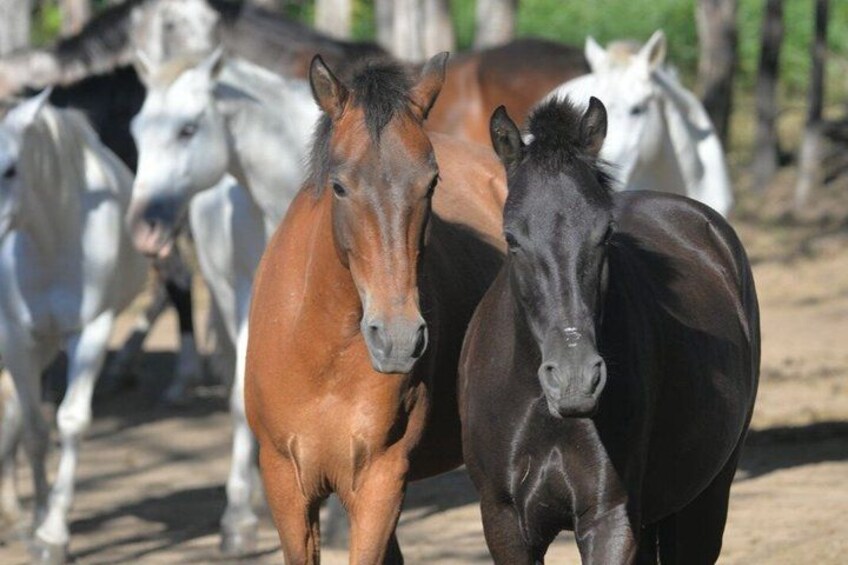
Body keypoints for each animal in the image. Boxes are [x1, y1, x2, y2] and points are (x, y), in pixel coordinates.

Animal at [0, 92, 149, 563]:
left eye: (11, 169)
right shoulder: (16, 336)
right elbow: (35, 428)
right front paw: (40, 522)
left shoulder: (92, 331)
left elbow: (69, 421)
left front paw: (52, 534)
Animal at [126, 49, 321, 554]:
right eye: (136, 131)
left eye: (188, 128)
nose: (144, 229)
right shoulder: (251, 299)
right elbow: (242, 399)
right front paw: (238, 519)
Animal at [244, 53, 505, 564]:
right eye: (339, 186)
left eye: (432, 183)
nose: (399, 339)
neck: (320, 351)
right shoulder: (286, 485)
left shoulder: (380, 482)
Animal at [459, 97, 759, 564]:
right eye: (511, 238)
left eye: (604, 234)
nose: (574, 380)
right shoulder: (504, 522)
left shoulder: (610, 518)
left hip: (705, 500)